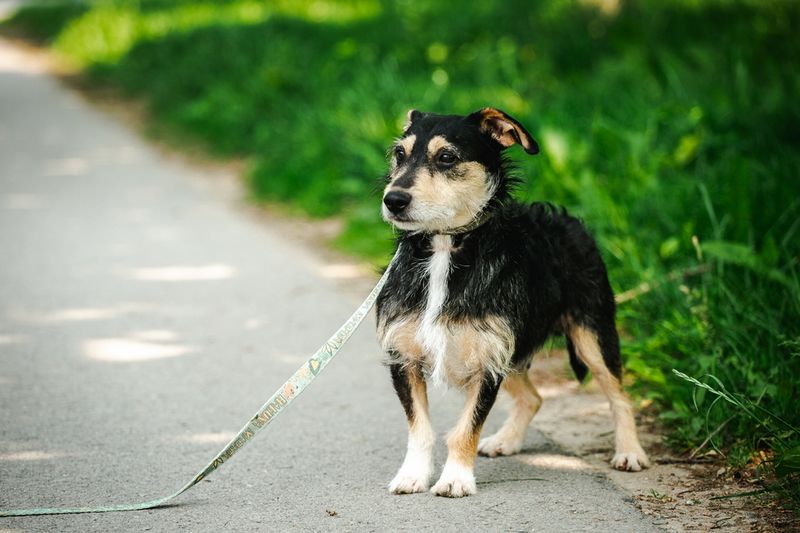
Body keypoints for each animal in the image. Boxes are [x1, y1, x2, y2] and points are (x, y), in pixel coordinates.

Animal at [375, 108, 649, 498]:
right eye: (400, 154)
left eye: (447, 157)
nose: (393, 200)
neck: (446, 248)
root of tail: (568, 219)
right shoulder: (406, 356)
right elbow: (420, 427)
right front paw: (413, 474)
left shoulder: (487, 361)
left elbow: (465, 429)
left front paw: (455, 478)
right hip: (514, 348)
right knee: (533, 398)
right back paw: (507, 440)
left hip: (592, 335)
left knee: (618, 396)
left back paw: (630, 451)